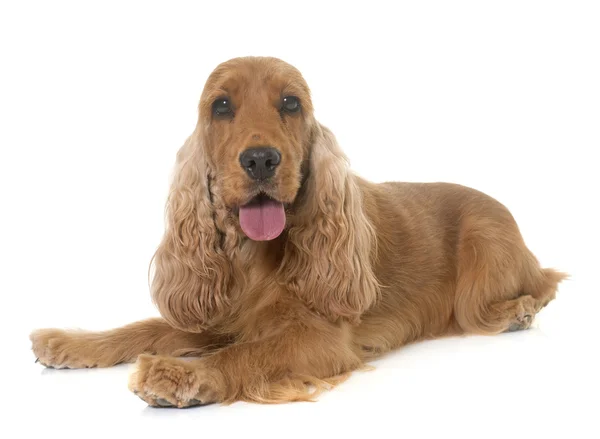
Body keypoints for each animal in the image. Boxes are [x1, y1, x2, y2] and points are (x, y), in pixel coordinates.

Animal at [30, 56, 564, 408]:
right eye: (220, 106)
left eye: (290, 103)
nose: (261, 159)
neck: (252, 255)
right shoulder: (220, 314)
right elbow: (146, 327)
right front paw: (70, 343)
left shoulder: (320, 338)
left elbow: (249, 353)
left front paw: (180, 375)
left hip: (484, 255)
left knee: (534, 290)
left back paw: (517, 311)